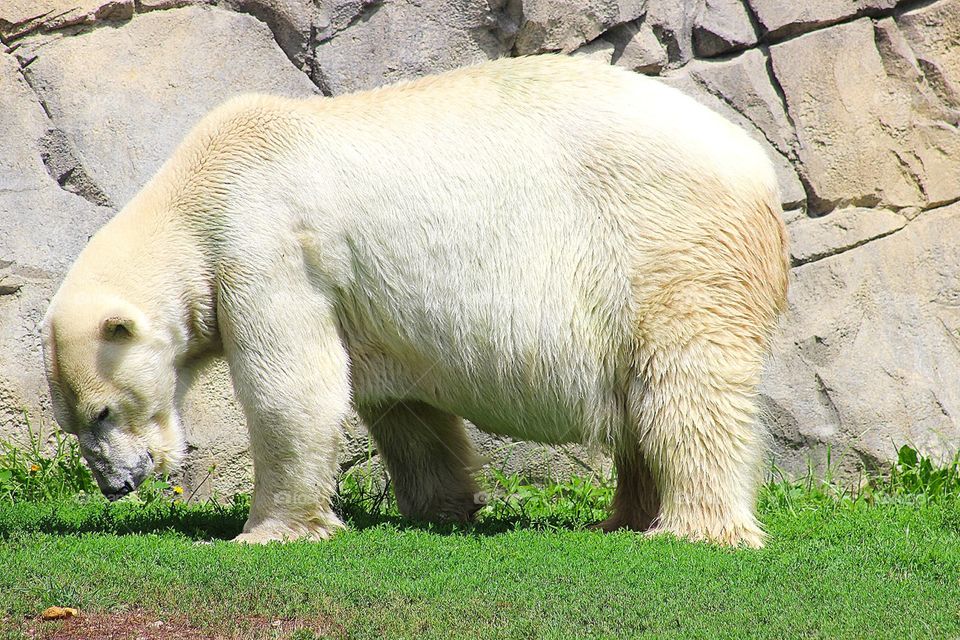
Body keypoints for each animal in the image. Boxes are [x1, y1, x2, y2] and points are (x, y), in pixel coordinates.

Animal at [42, 54, 789, 548]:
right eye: (72, 423)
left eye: (103, 411)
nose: (117, 485)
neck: (204, 182)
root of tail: (760, 171)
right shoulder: (365, 301)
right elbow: (402, 404)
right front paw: (440, 506)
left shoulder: (267, 242)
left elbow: (292, 387)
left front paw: (271, 531)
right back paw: (626, 516)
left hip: (669, 241)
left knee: (686, 384)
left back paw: (692, 530)